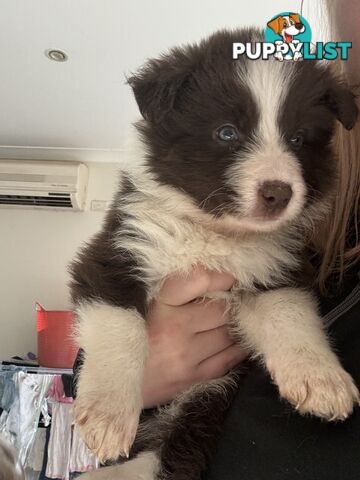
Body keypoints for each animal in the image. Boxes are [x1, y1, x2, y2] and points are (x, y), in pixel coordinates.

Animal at [71, 29, 360, 480]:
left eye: (298, 138)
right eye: (226, 133)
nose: (278, 193)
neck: (217, 234)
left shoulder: (274, 272)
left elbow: (290, 315)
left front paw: (321, 378)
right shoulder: (116, 253)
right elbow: (122, 328)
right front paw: (107, 414)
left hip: (208, 398)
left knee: (175, 447)